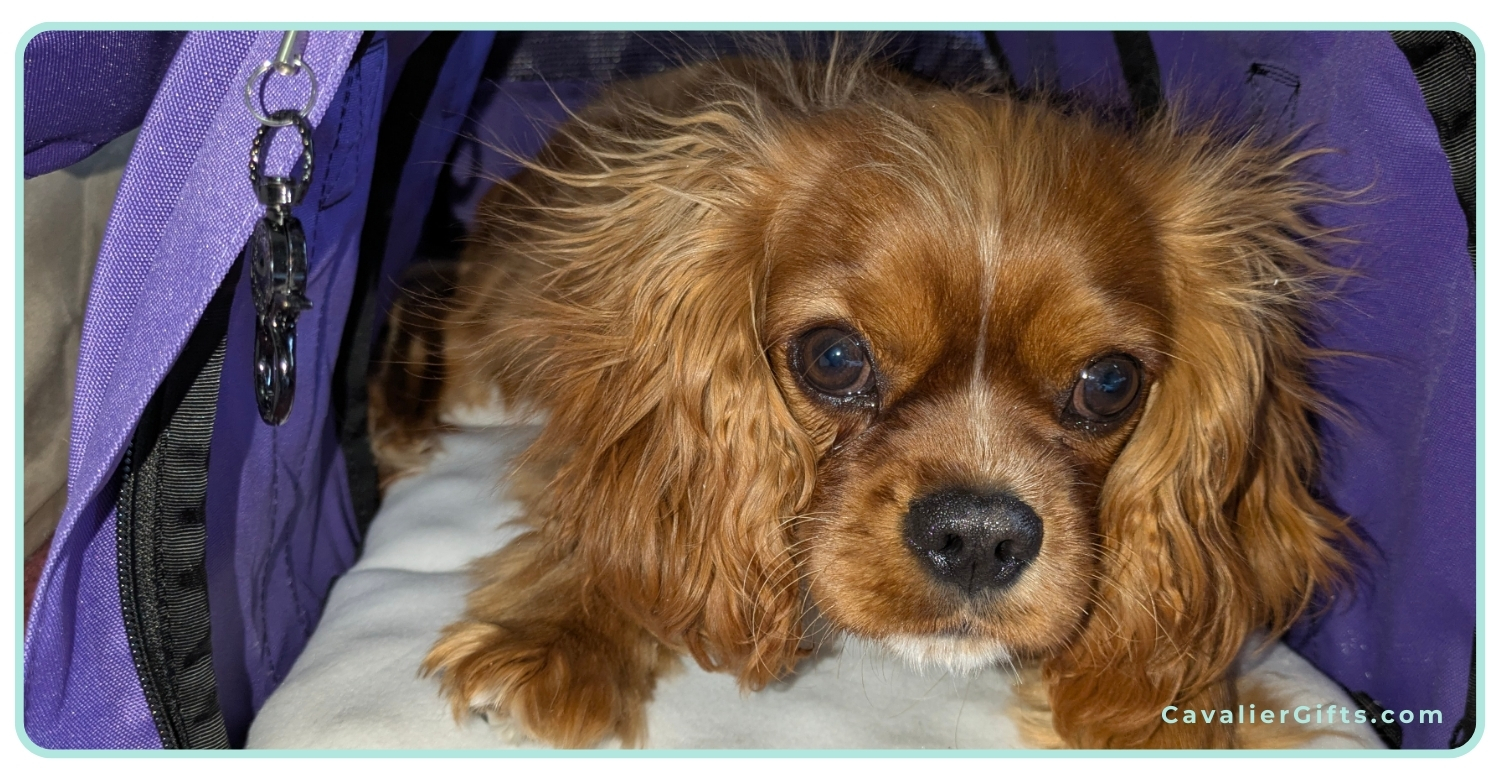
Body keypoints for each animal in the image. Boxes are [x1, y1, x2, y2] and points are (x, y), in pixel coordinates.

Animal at [369, 47, 1356, 750]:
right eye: (835, 357)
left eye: (1109, 382)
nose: (979, 536)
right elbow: (610, 519)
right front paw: (563, 630)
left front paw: (1172, 706)